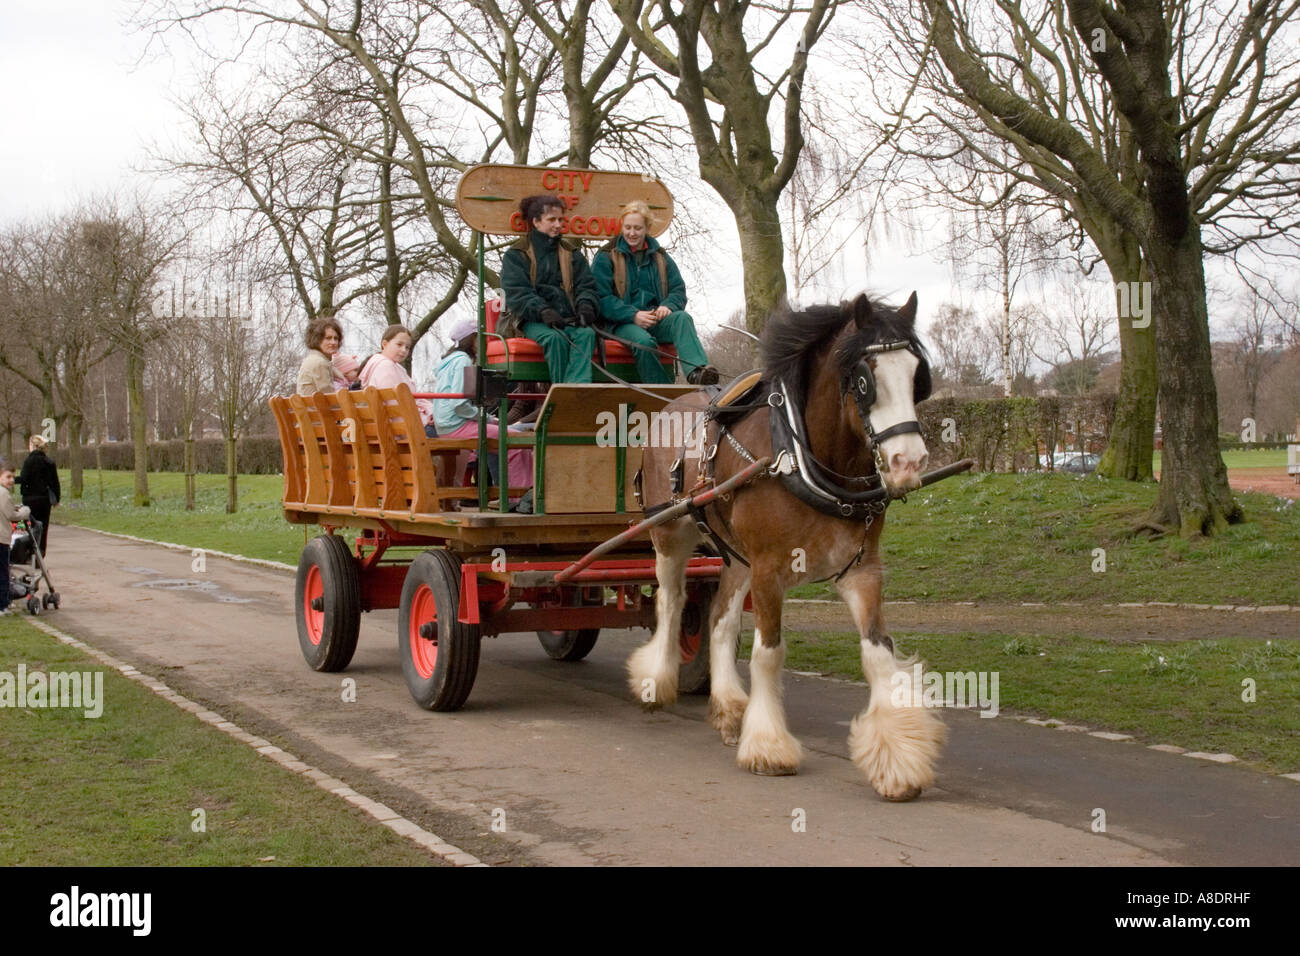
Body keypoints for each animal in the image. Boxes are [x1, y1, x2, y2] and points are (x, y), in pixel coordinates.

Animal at [629, 291, 946, 801]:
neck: (799, 455)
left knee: (719, 620)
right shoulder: (769, 569)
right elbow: (768, 653)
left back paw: (729, 707)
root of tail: (672, 403)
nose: (908, 462)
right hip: (671, 535)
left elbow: (878, 652)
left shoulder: (863, 569)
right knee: (672, 603)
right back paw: (656, 681)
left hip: (735, 555)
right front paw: (768, 747)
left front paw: (897, 759)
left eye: (917, 376)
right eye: (864, 380)